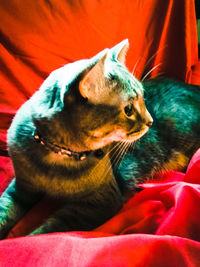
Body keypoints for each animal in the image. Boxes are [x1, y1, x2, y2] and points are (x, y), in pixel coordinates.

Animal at [0, 40, 200, 239]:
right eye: (128, 109)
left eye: (143, 97)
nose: (151, 121)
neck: (56, 157)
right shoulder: (22, 187)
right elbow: (5, 209)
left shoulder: (103, 201)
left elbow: (48, 229)